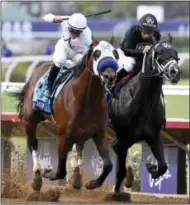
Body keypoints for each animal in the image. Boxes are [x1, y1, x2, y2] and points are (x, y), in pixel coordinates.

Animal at [13, 36, 120, 191]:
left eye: (115, 54)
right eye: (97, 53)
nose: (109, 76)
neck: (87, 100)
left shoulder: (99, 133)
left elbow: (108, 164)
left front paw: (93, 183)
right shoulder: (63, 135)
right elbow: (60, 171)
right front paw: (48, 173)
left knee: (79, 149)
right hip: (29, 120)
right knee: (33, 143)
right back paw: (37, 176)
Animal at [108, 34, 181, 192]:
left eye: (176, 54)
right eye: (159, 54)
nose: (175, 72)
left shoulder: (153, 136)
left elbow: (163, 166)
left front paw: (151, 168)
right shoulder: (124, 138)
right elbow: (120, 171)